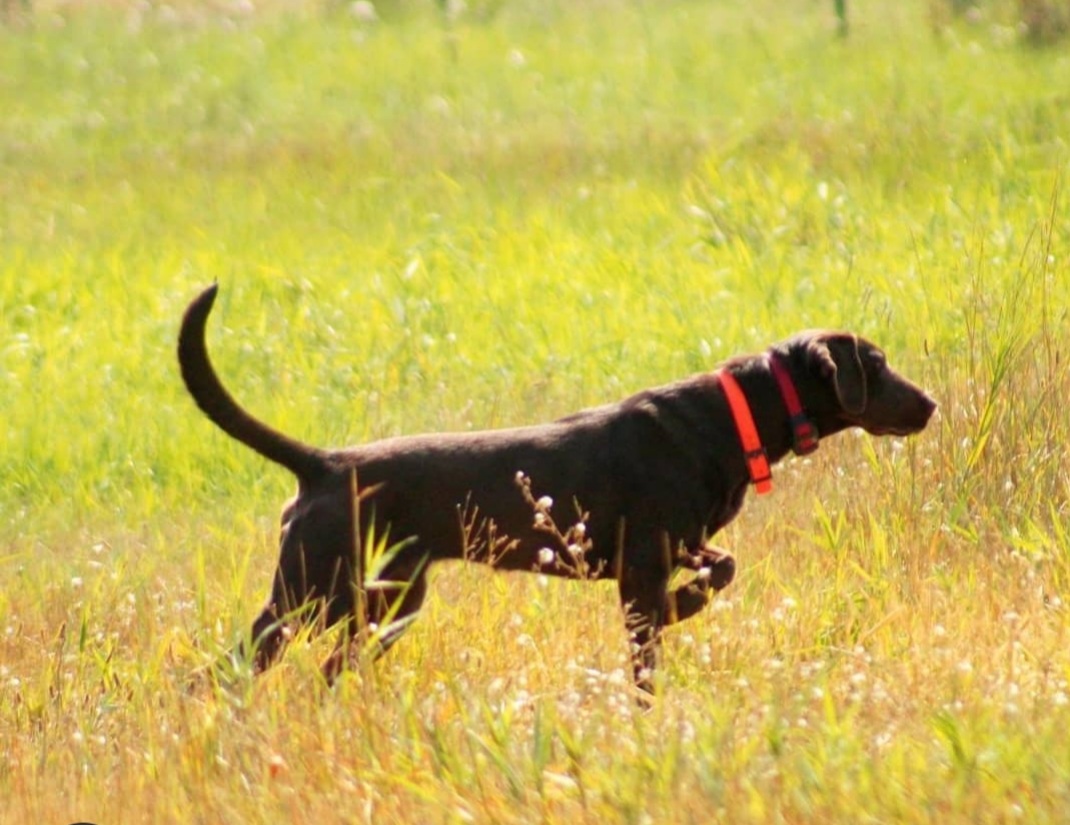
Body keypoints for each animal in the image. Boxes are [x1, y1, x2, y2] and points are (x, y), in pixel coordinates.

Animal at [179, 286, 933, 693]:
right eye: (876, 365)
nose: (928, 404)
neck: (731, 415)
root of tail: (324, 464)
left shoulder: (673, 547)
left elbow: (724, 566)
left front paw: (686, 604)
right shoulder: (641, 566)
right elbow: (649, 650)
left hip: (387, 600)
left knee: (330, 667)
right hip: (311, 593)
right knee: (222, 671)